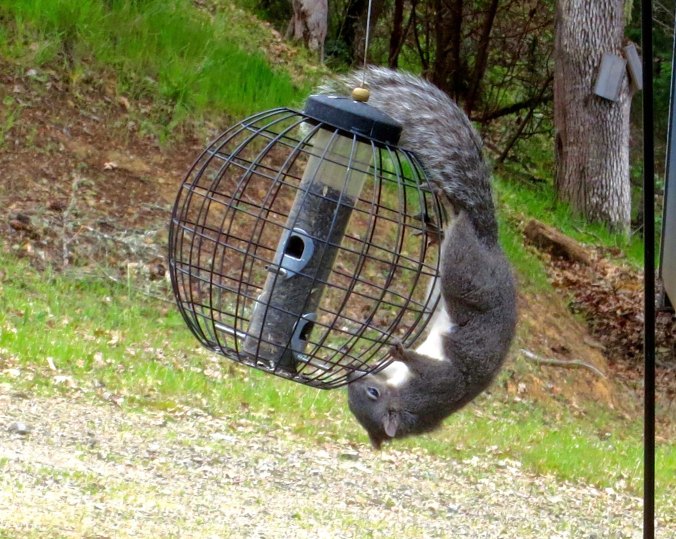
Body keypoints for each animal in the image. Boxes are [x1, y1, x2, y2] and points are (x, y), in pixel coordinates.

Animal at [320, 67, 518, 449]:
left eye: (370, 394)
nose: (352, 372)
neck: (406, 394)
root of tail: (488, 242)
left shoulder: (438, 382)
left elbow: (427, 367)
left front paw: (401, 352)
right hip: (442, 281)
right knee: (452, 229)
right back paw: (437, 223)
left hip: (462, 275)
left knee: (458, 237)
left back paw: (450, 208)